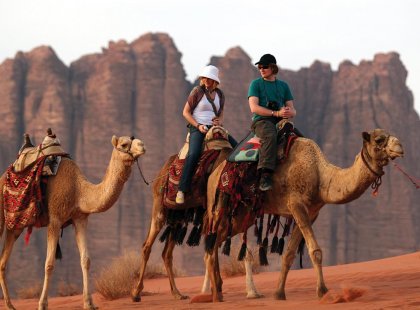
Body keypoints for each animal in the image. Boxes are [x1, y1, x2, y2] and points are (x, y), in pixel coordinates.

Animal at [0, 136, 145, 310]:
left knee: (2, 261)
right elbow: (49, 264)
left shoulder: (80, 219)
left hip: (15, 226)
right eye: (124, 144)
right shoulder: (55, 219)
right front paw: (42, 304)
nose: (142, 145)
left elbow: (86, 260)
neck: (79, 191)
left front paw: (89, 303)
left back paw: (10, 305)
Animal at [203, 128, 404, 302]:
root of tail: (213, 175)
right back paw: (215, 295)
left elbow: (289, 254)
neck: (321, 176)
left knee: (214, 242)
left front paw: (279, 293)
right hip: (223, 206)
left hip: (243, 216)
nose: (400, 146)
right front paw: (323, 292)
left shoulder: (312, 212)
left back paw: (217, 290)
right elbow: (315, 251)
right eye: (379, 139)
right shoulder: (296, 205)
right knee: (211, 241)